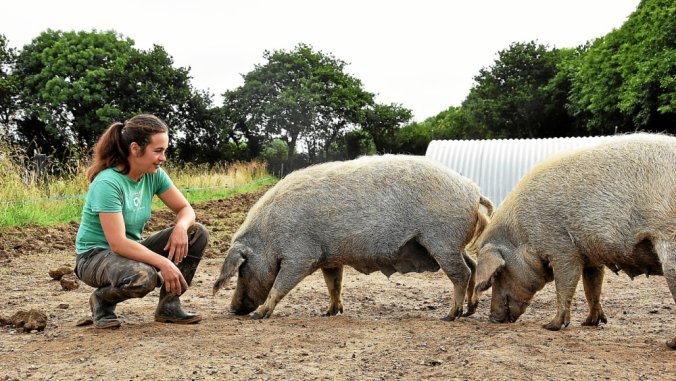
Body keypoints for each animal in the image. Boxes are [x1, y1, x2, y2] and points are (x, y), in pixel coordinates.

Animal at [214, 153, 494, 320]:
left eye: (241, 270)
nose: (233, 309)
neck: (268, 237)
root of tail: (473, 191)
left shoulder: (300, 255)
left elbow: (280, 284)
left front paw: (260, 315)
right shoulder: (329, 258)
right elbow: (333, 284)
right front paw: (329, 312)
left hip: (442, 240)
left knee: (462, 273)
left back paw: (450, 315)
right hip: (452, 244)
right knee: (473, 265)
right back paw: (469, 311)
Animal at [472, 132, 676, 348]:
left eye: (498, 273)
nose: (492, 318)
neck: (523, 234)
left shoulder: (562, 249)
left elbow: (564, 285)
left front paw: (550, 326)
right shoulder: (592, 257)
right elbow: (592, 287)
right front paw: (590, 323)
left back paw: (669, 343)